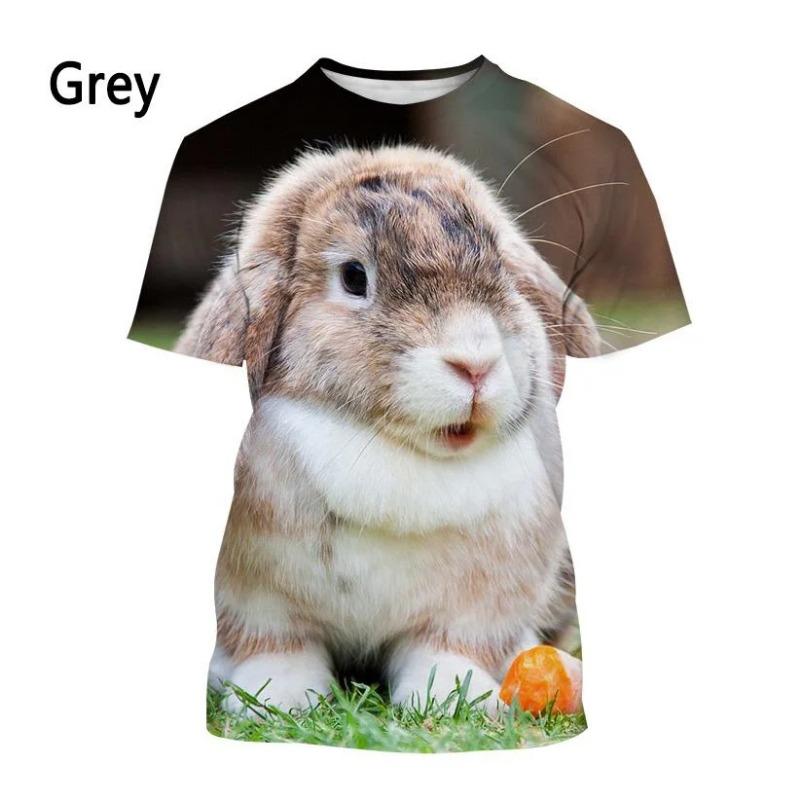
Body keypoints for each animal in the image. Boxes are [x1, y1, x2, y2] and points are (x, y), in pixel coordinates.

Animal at [176, 144, 600, 715]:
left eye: (502, 268)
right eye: (355, 277)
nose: (475, 365)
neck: (386, 447)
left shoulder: (474, 609)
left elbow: (445, 649)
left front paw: (456, 698)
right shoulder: (258, 603)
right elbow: (276, 647)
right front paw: (279, 698)